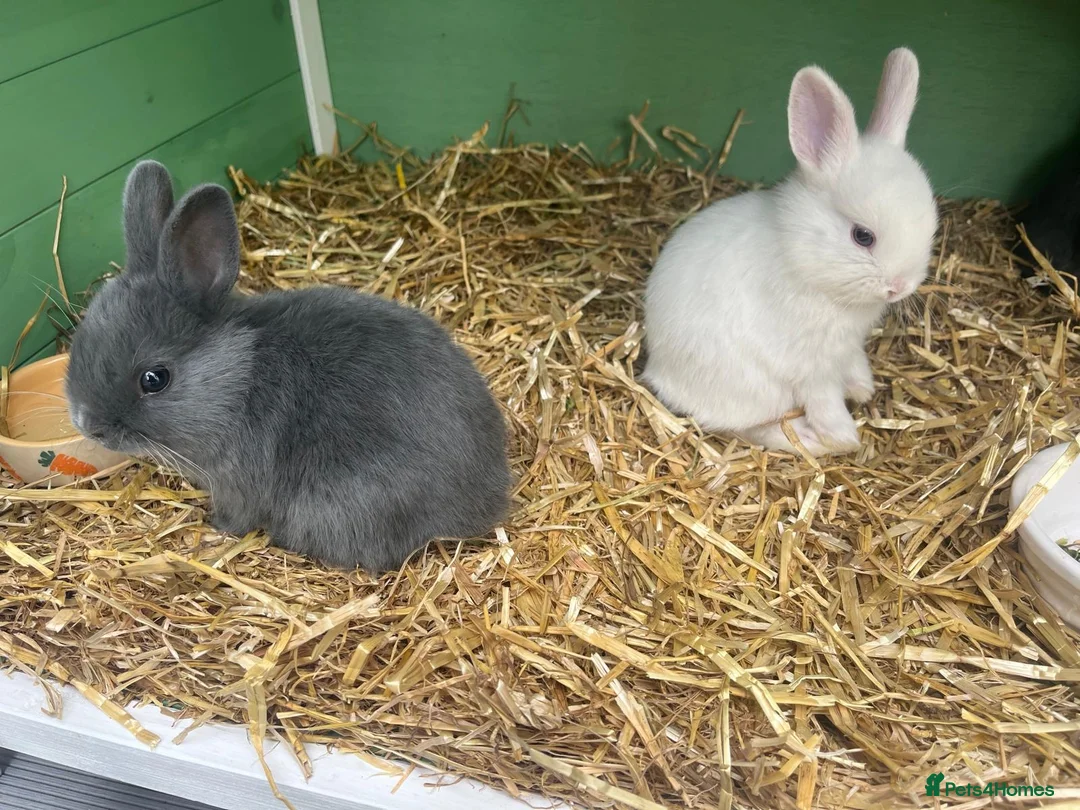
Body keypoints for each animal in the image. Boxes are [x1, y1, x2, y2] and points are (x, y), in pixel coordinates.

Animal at [64, 160, 512, 572]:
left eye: (154, 379)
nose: (89, 426)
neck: (239, 377)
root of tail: (489, 499)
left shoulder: (237, 486)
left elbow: (237, 516)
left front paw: (214, 528)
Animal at [641, 47, 938, 457]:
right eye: (863, 236)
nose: (900, 287)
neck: (803, 258)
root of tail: (657, 371)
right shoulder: (811, 367)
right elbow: (824, 401)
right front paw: (844, 437)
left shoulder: (846, 349)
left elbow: (853, 365)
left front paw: (863, 389)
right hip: (757, 391)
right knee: (750, 429)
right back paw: (808, 440)